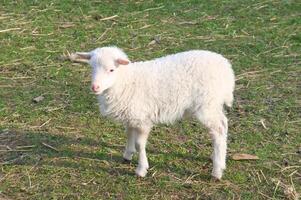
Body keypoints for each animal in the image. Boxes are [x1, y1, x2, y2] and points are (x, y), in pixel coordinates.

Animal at [71, 47, 234, 180]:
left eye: (111, 70)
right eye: (92, 68)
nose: (95, 87)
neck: (126, 82)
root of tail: (227, 70)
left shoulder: (142, 119)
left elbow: (139, 144)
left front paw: (141, 169)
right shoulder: (131, 116)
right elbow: (129, 135)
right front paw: (127, 156)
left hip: (207, 104)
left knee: (219, 130)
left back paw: (217, 171)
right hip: (213, 104)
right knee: (223, 125)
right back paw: (217, 157)